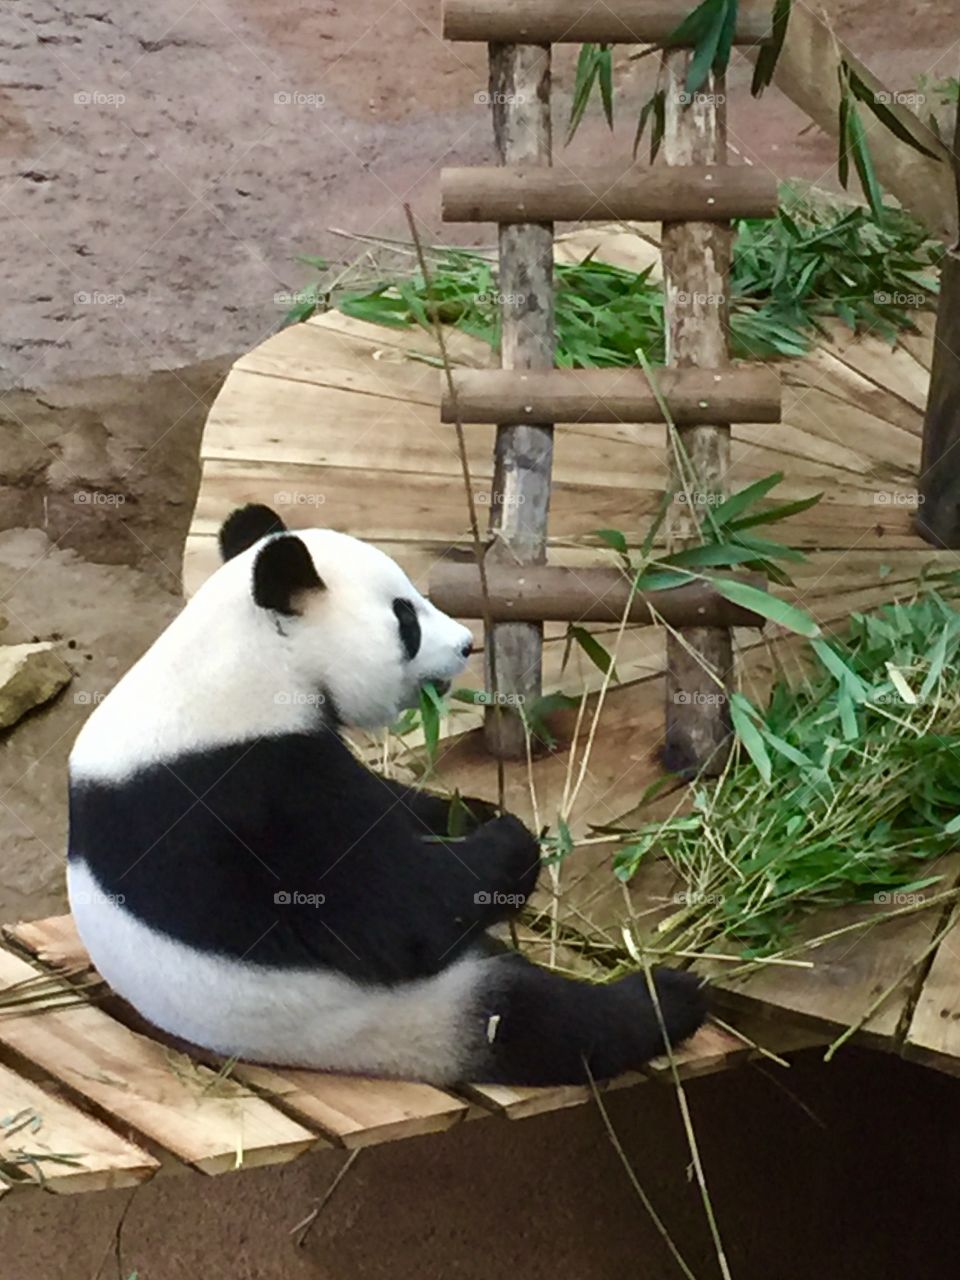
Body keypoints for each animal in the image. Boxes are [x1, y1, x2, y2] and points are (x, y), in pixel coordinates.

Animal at [67, 503, 706, 1086]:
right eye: (405, 617)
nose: (466, 645)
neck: (234, 666)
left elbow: (393, 808)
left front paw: (470, 812)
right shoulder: (243, 791)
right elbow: (390, 911)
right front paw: (510, 842)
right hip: (403, 1017)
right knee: (537, 1021)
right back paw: (669, 999)